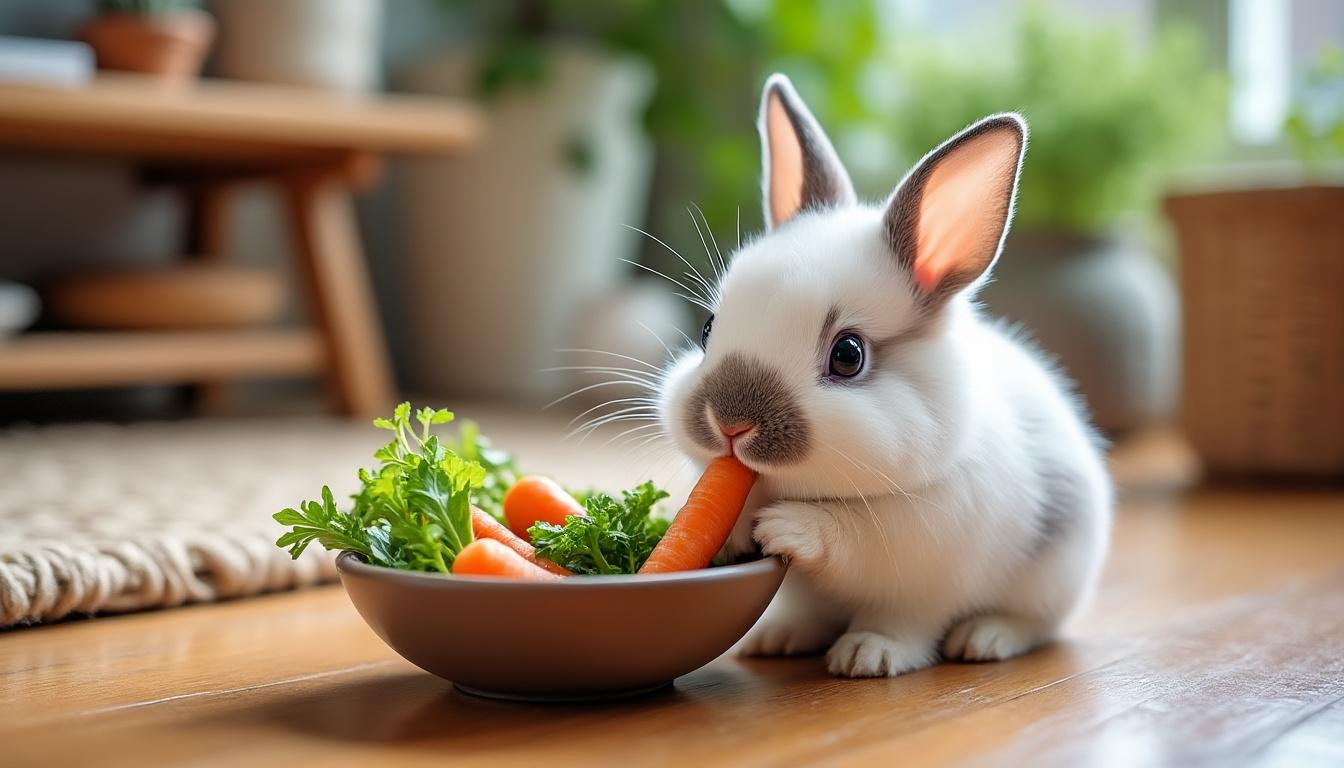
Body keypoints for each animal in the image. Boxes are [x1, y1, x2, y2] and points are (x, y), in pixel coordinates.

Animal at [655, 74, 1112, 678]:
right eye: (708, 329)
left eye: (848, 355)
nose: (729, 423)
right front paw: (737, 530)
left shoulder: (912, 550)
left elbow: (857, 551)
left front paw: (861, 645)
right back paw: (780, 637)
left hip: (1055, 575)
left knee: (1037, 624)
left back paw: (983, 639)